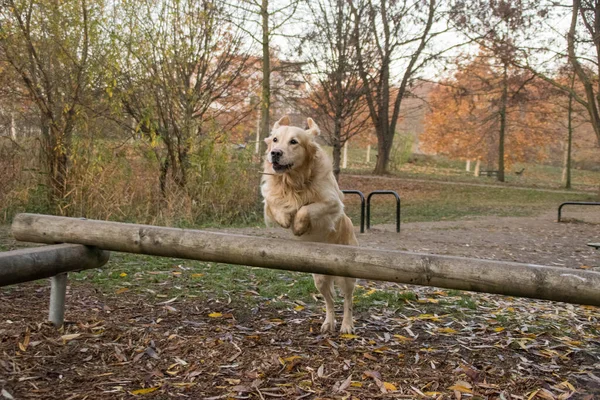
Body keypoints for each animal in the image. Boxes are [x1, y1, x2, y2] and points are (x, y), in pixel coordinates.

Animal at [262, 115, 356, 334]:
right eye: (275, 140)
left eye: (294, 142)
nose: (275, 153)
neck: (294, 180)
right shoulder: (269, 196)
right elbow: (274, 202)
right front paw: (285, 218)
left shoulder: (333, 203)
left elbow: (307, 209)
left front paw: (298, 226)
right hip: (319, 278)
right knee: (329, 301)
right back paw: (328, 323)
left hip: (347, 274)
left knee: (348, 300)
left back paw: (346, 325)